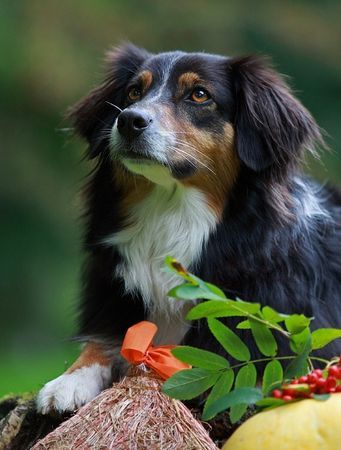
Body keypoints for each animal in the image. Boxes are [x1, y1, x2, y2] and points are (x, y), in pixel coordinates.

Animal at [35, 44, 338, 414]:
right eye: (134, 92)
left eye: (199, 94)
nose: (129, 120)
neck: (172, 211)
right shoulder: (114, 296)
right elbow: (100, 342)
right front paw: (69, 381)